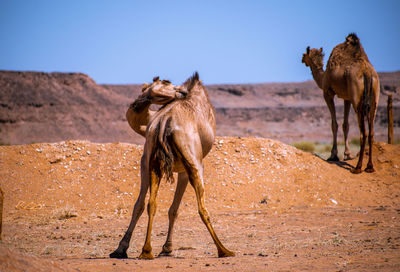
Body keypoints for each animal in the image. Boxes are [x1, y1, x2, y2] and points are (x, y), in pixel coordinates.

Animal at [110, 73, 234, 260]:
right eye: (166, 81)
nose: (182, 91)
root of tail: (165, 122)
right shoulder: (184, 169)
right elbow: (174, 209)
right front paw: (167, 248)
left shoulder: (144, 161)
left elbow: (141, 205)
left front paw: (121, 248)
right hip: (194, 163)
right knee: (202, 208)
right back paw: (224, 250)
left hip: (154, 164)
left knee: (151, 203)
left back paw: (146, 251)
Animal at [302, 33, 380, 174]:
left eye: (304, 54)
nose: (301, 59)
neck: (323, 76)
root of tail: (367, 72)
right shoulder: (347, 98)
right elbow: (345, 124)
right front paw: (347, 155)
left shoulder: (328, 93)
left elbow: (334, 124)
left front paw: (333, 155)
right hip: (375, 96)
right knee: (371, 132)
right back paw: (370, 167)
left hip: (357, 99)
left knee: (363, 132)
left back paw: (357, 167)